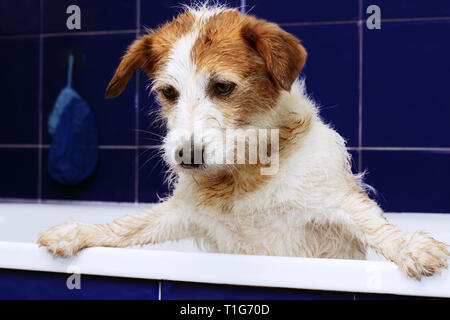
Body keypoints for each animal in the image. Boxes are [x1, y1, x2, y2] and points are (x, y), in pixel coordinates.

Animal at [37, 4, 446, 280]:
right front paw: (78, 232)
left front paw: (411, 247)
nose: (186, 156)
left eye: (223, 87)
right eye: (168, 92)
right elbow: (127, 226)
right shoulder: (182, 214)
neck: (243, 173)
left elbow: (375, 225)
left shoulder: (335, 201)